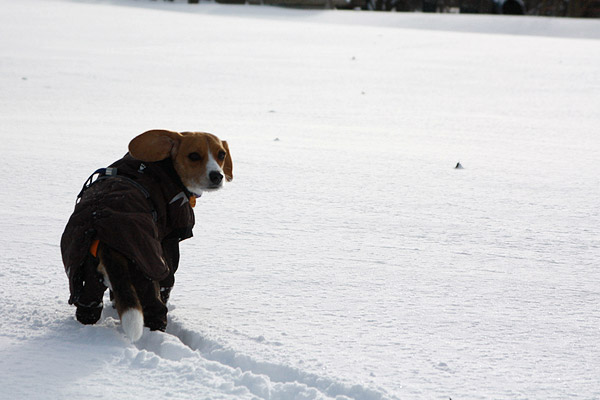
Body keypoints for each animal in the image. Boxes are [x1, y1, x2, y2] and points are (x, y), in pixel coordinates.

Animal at [61, 130, 233, 342]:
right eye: (193, 156)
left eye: (221, 154)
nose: (217, 176)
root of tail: (102, 233)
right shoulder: (168, 243)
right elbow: (168, 282)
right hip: (146, 272)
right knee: (155, 310)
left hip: (88, 275)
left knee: (88, 308)